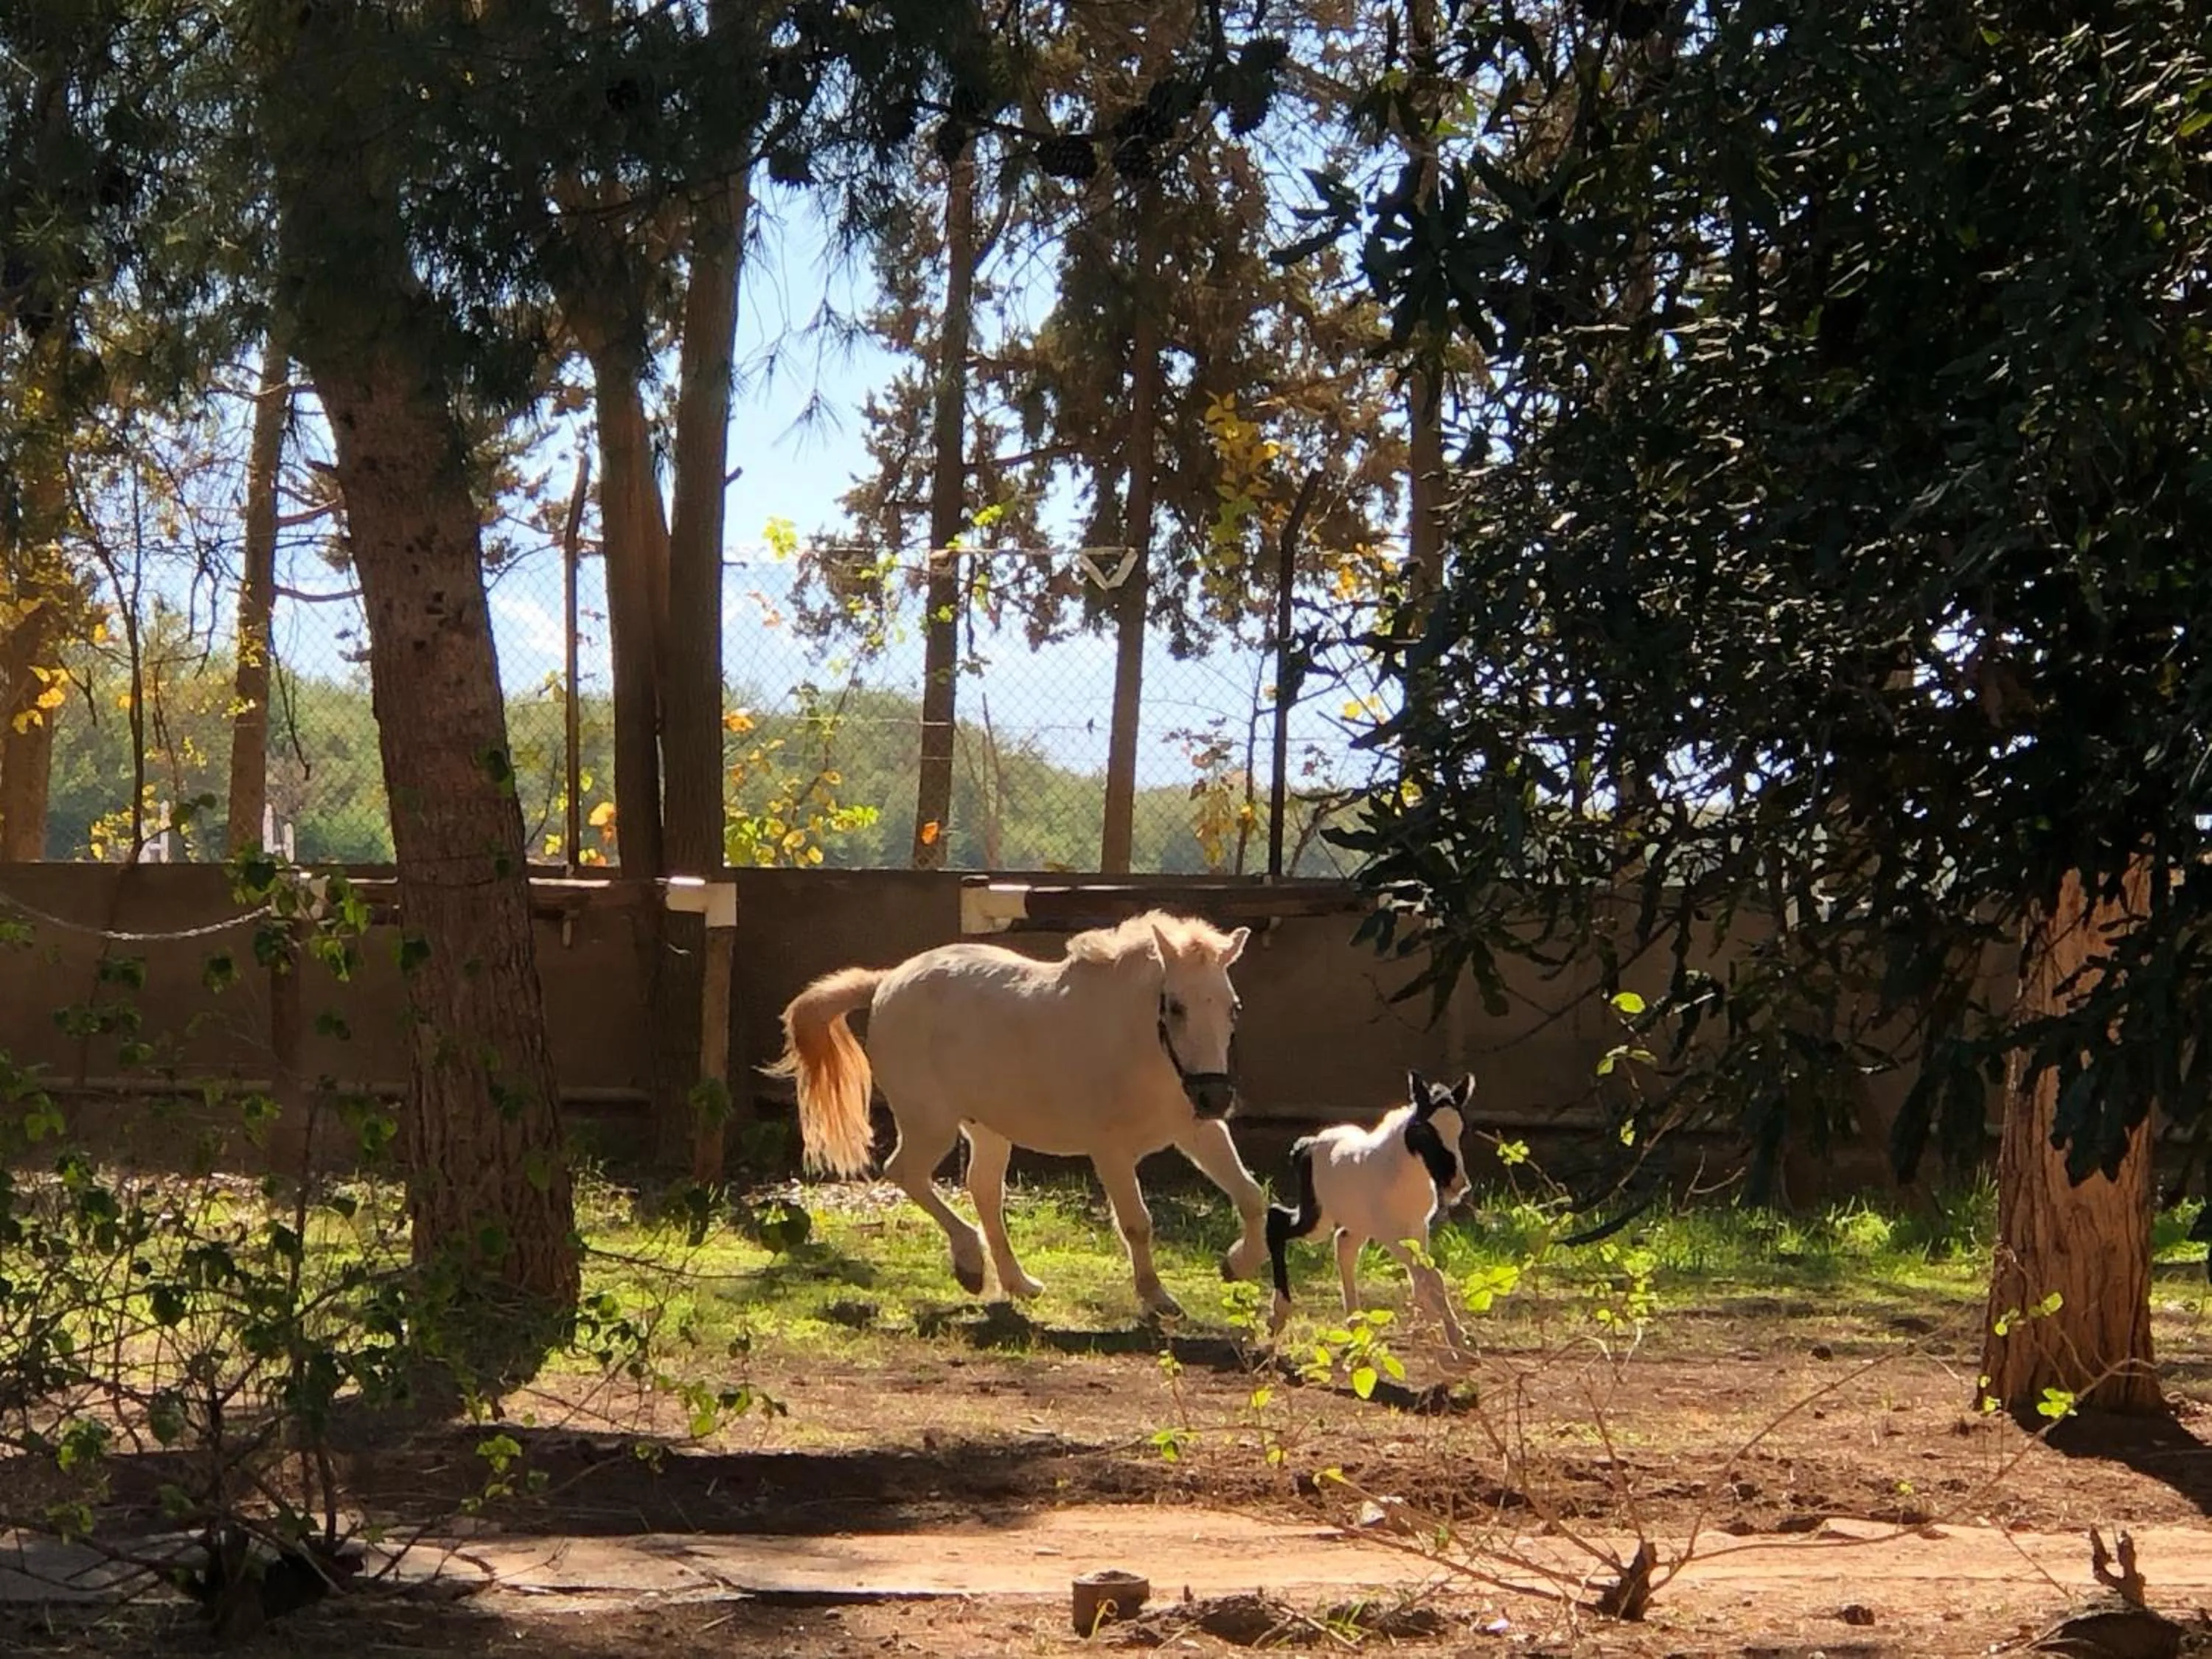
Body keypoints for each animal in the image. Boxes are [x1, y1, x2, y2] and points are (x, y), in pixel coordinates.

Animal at [765, 910, 1270, 1318]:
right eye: (1175, 1006)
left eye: (1234, 1008)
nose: (1214, 1097)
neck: (1142, 1048)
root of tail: (888, 982)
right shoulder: (1111, 1151)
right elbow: (1137, 1223)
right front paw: (1158, 1298)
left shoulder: (1197, 1132)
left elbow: (1251, 1196)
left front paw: (1236, 1265)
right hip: (931, 1124)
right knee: (905, 1173)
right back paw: (970, 1265)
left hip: (986, 1129)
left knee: (983, 1190)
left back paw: (1016, 1282)